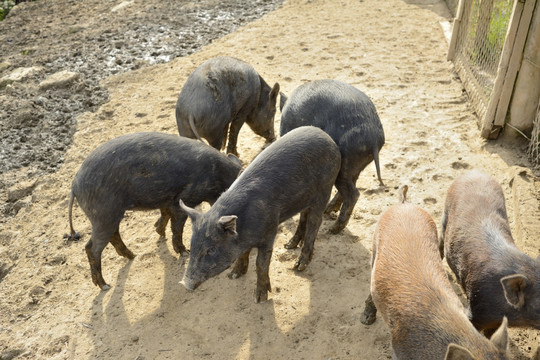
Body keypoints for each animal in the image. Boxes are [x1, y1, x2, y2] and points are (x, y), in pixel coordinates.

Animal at [67, 132, 240, 290]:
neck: (217, 175)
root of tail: (75, 184)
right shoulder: (185, 198)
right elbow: (177, 225)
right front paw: (184, 252)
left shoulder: (168, 199)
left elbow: (165, 214)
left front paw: (159, 232)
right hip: (103, 213)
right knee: (91, 247)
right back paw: (105, 286)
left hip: (109, 215)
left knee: (113, 235)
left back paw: (132, 256)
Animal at [179, 125, 340, 302]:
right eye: (192, 246)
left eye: (211, 250)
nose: (184, 284)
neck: (244, 229)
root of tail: (327, 137)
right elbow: (243, 254)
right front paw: (233, 275)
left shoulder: (270, 231)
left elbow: (261, 263)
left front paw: (259, 298)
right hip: (304, 197)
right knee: (304, 217)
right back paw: (289, 245)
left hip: (326, 187)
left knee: (315, 223)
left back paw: (298, 266)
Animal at [278, 79, 384, 233]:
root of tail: (374, 140)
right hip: (356, 164)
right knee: (351, 185)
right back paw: (328, 212)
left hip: (346, 161)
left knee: (353, 194)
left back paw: (334, 229)